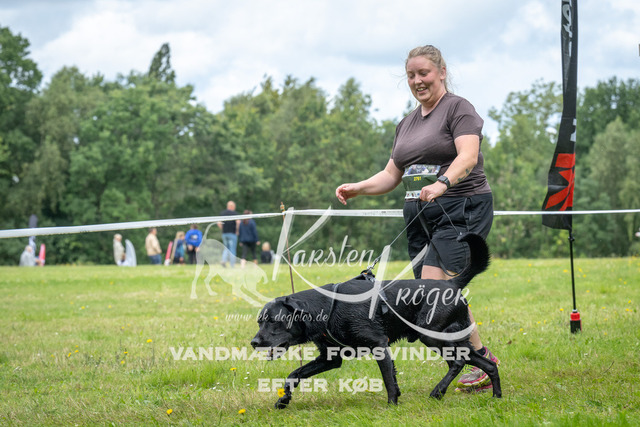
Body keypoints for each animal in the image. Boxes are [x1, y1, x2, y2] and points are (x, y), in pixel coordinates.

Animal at [251, 233, 500, 408]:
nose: (254, 342)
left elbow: (388, 379)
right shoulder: (330, 358)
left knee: (458, 362)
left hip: (431, 336)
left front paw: (392, 406)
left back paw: (437, 392)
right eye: (259, 322)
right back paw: (496, 397)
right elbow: (294, 374)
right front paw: (283, 400)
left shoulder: (379, 345)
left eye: (273, 321)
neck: (327, 306)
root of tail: (452, 283)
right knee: (487, 364)